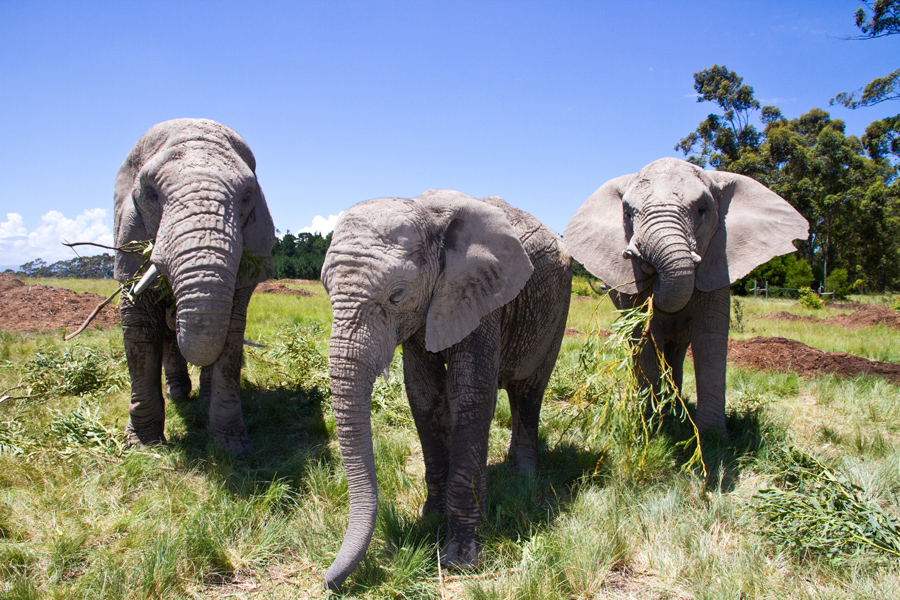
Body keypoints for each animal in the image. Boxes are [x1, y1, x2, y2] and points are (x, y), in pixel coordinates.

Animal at [112, 118, 274, 454]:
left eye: (247, 196)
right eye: (150, 194)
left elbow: (230, 332)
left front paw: (233, 448)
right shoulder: (128, 237)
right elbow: (139, 328)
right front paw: (142, 446)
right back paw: (178, 394)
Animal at [320, 189, 572, 592]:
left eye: (397, 294)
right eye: (326, 290)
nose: (329, 582)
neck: (424, 210)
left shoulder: (481, 296)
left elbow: (469, 395)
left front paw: (460, 558)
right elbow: (423, 394)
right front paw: (430, 518)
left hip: (556, 309)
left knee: (528, 390)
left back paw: (525, 474)